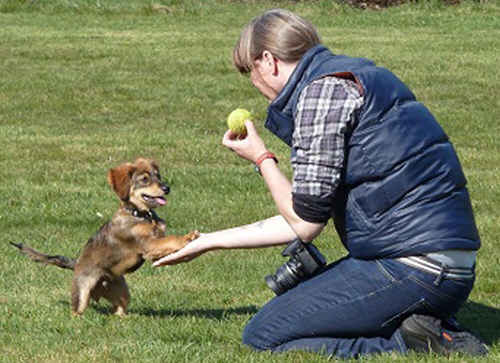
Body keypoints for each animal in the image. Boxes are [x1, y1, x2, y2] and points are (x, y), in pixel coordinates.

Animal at [10, 158, 198, 318]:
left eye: (158, 176)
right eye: (145, 179)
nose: (167, 188)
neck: (141, 215)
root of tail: (76, 263)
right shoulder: (147, 244)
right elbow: (170, 240)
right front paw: (186, 237)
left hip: (122, 291)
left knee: (118, 310)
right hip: (82, 290)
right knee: (76, 310)